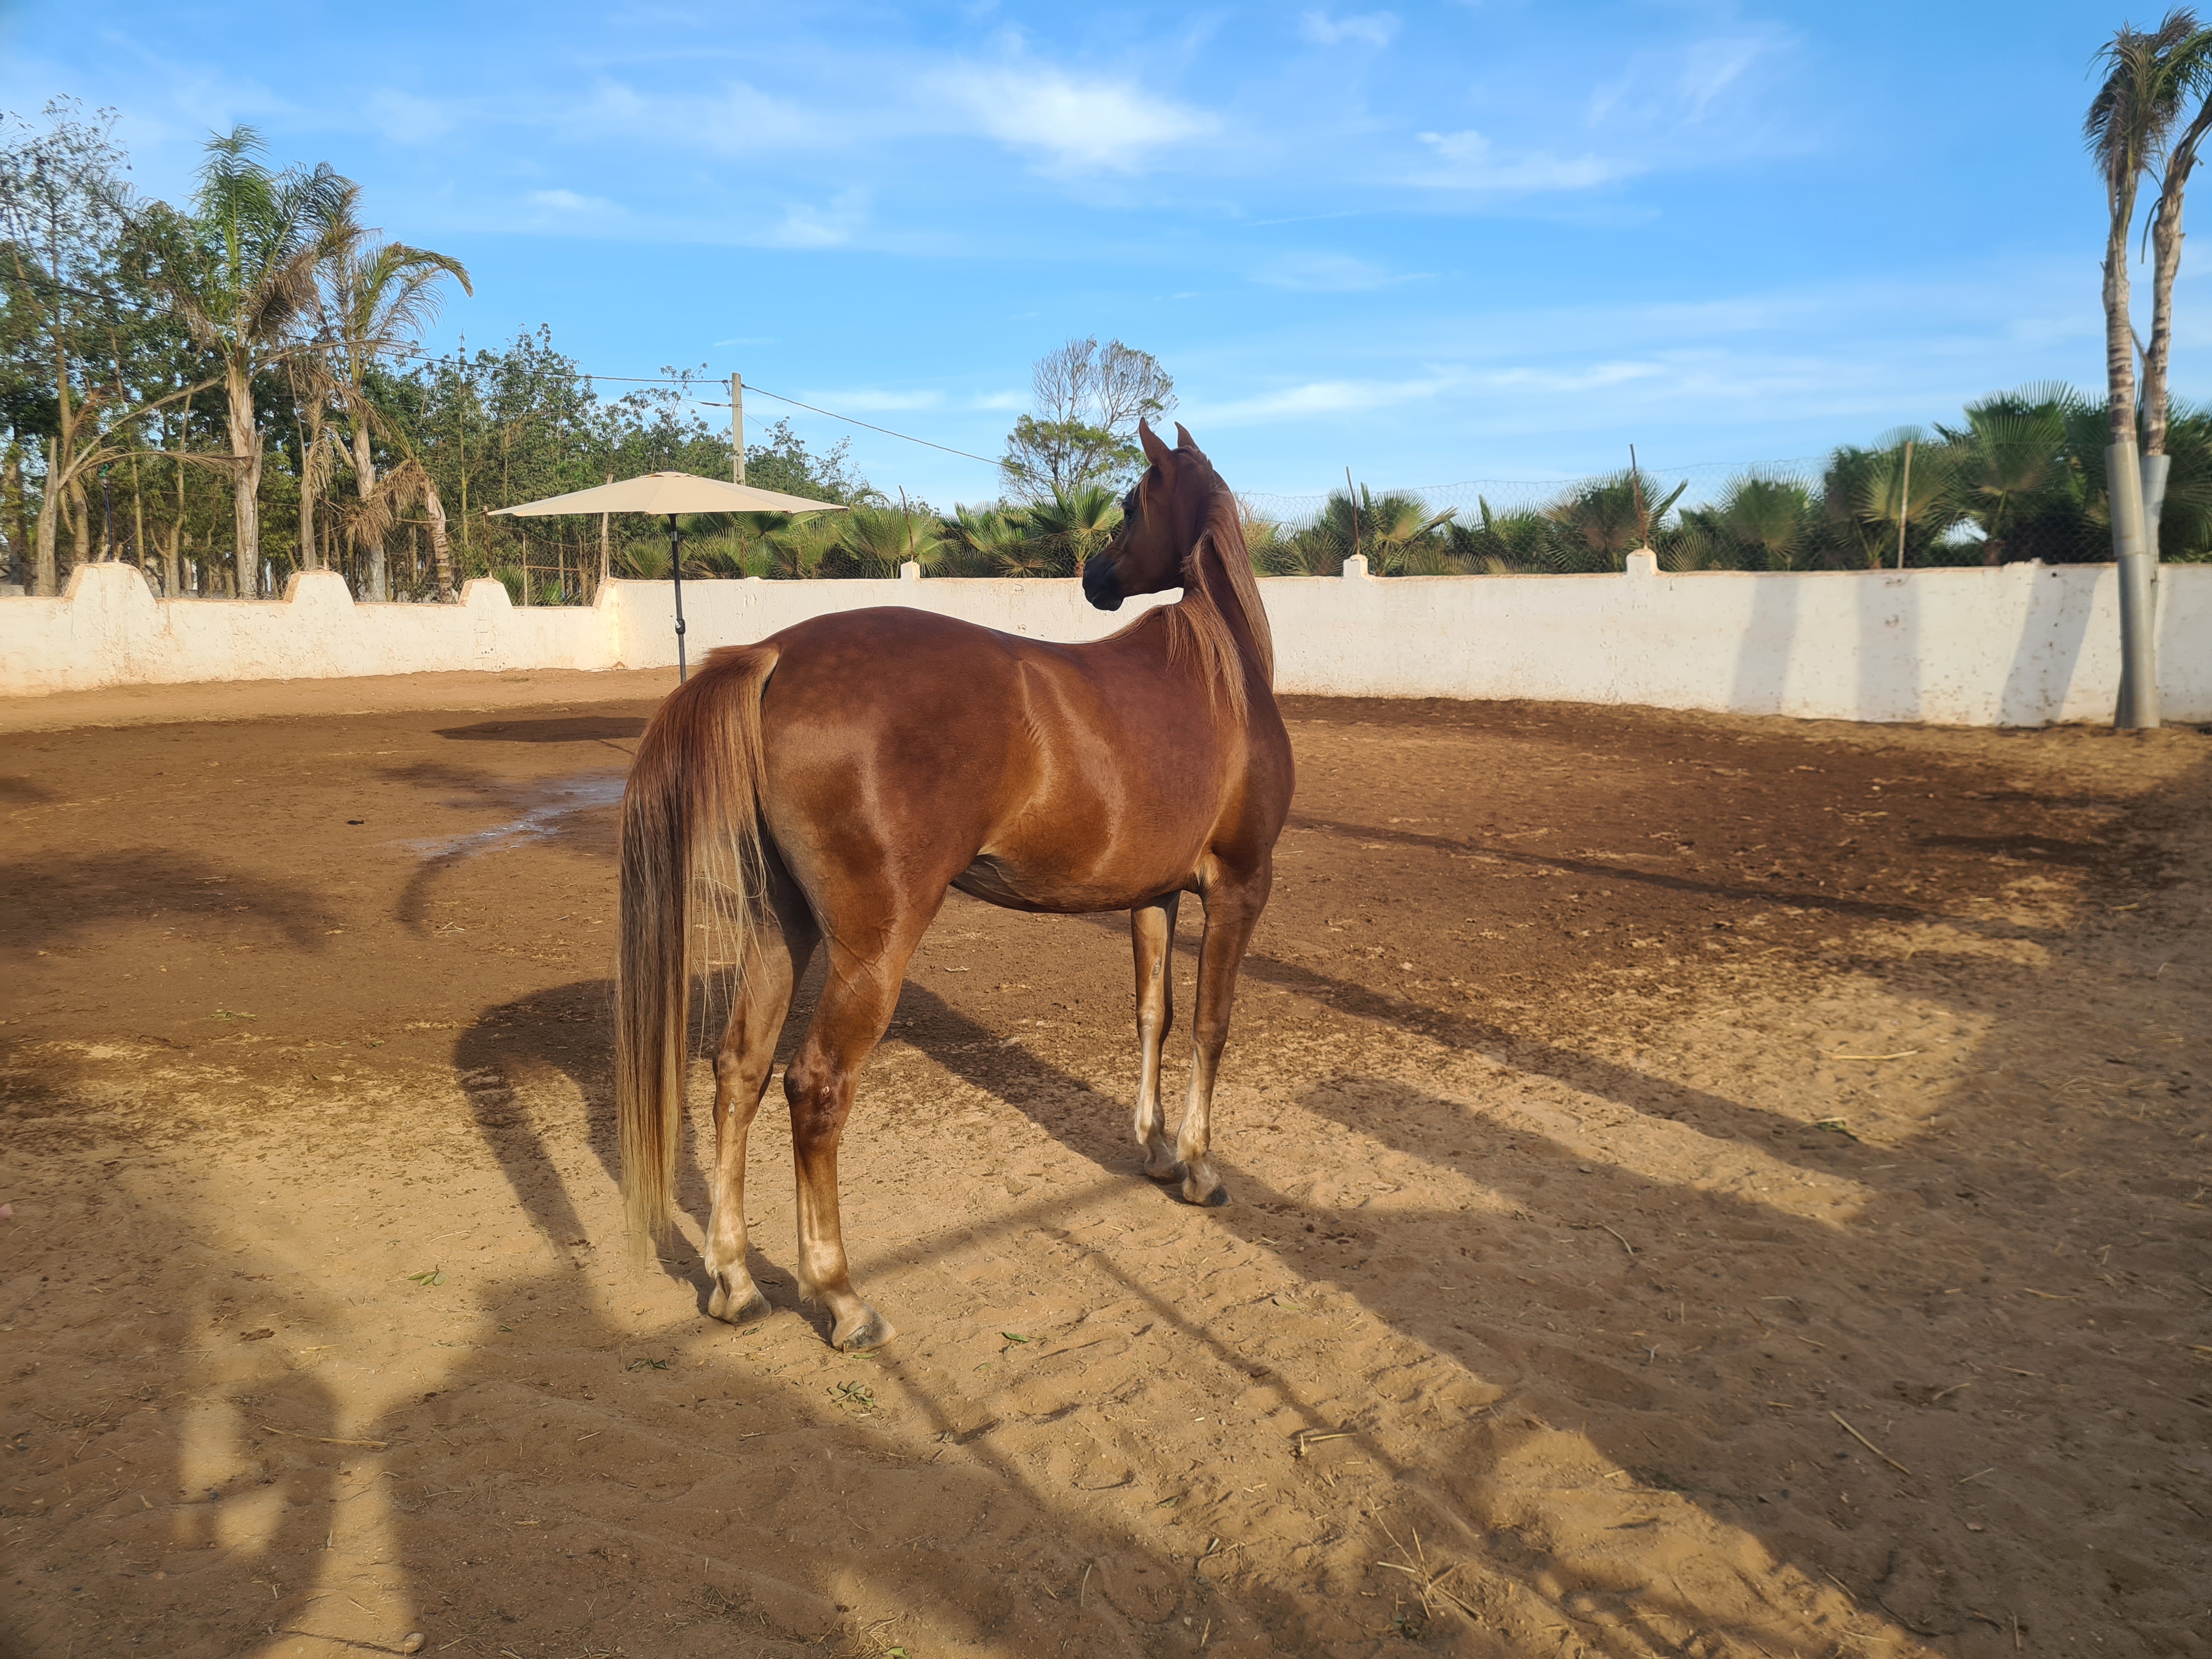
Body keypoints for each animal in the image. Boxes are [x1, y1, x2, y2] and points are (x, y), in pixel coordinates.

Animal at [615, 420, 1294, 1350]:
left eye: (1128, 507)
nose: (1095, 577)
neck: (1218, 672)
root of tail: (775, 655)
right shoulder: (1238, 887)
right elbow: (1211, 1024)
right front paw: (1198, 1166)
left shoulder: (1152, 898)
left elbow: (1153, 1017)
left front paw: (1155, 1150)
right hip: (875, 949)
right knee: (814, 1088)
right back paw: (842, 1299)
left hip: (781, 926)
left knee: (739, 1069)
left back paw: (735, 1280)